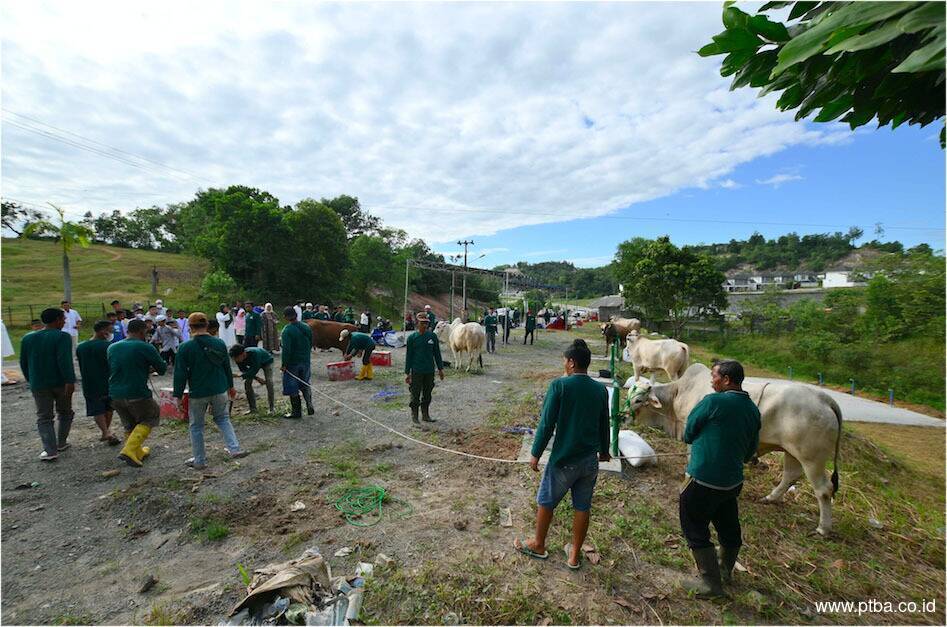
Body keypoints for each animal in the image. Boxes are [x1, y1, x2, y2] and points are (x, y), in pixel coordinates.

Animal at [624, 366, 840, 536]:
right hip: (791, 452)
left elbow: (691, 460)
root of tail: (824, 398)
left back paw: (823, 528)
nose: (623, 416)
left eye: (638, 400)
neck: (677, 394)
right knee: (790, 476)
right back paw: (770, 498)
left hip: (811, 458)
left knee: (823, 490)